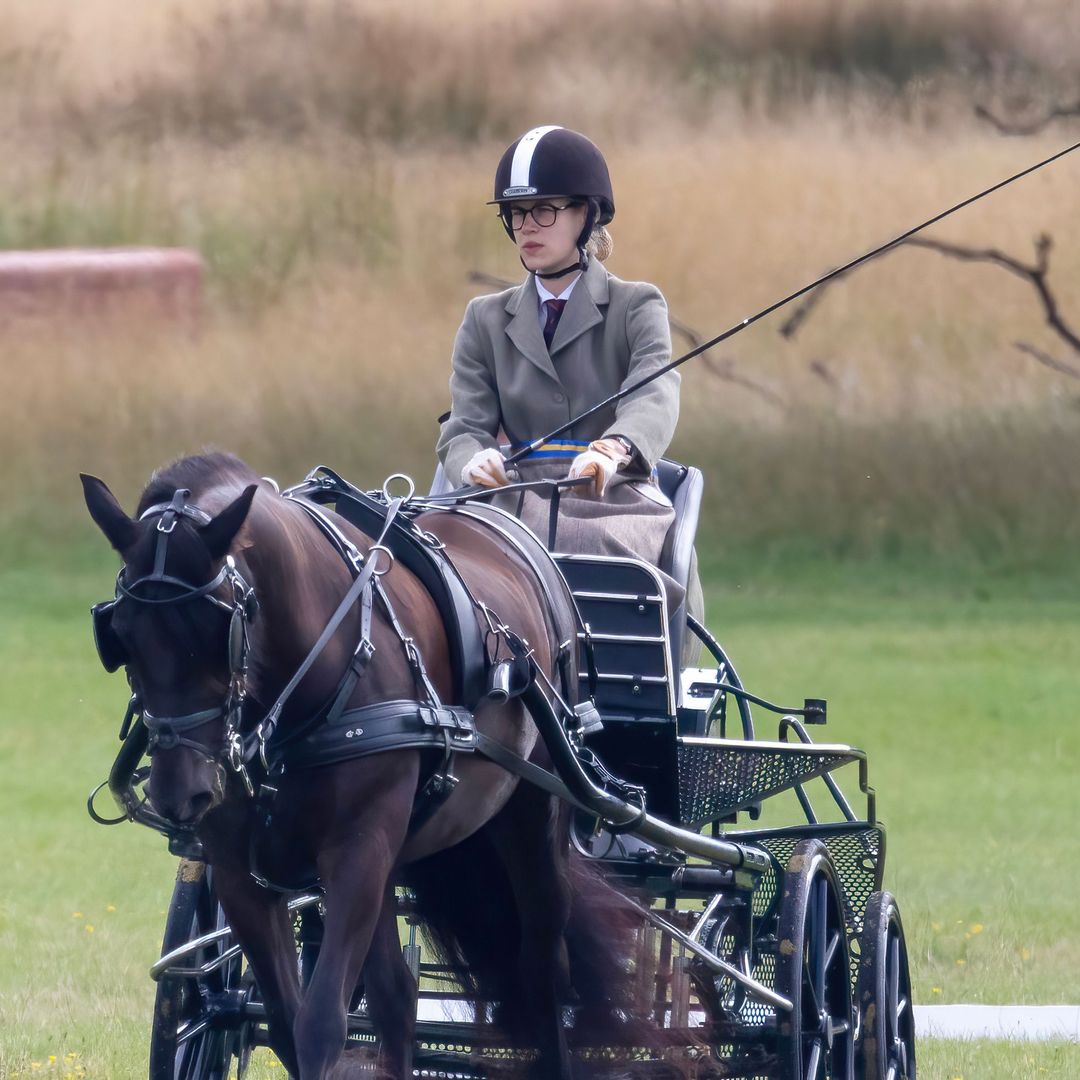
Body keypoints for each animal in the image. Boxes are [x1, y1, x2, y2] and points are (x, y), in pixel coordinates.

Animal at [82, 455, 665, 1080]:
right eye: (120, 635)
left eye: (222, 632)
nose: (181, 793)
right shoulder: (242, 873)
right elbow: (289, 1022)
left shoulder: (357, 850)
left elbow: (319, 1024)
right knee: (397, 995)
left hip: (533, 817)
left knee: (543, 969)